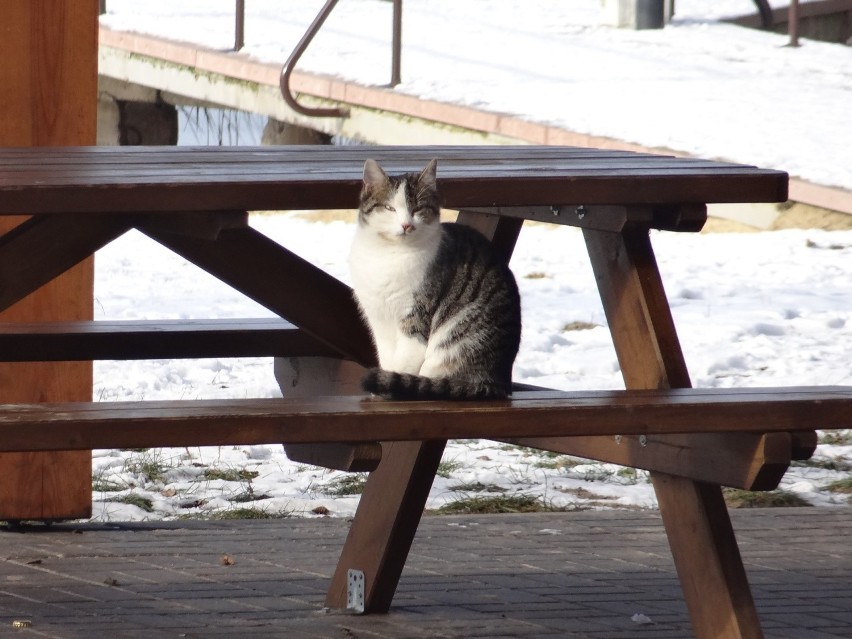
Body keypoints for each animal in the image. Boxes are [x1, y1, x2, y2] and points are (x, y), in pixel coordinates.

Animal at [346, 159, 520, 400]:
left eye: (418, 209)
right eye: (389, 208)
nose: (406, 225)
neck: (388, 254)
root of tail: (496, 381)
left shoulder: (416, 317)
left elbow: (402, 365)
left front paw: (388, 390)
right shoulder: (378, 320)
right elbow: (387, 358)